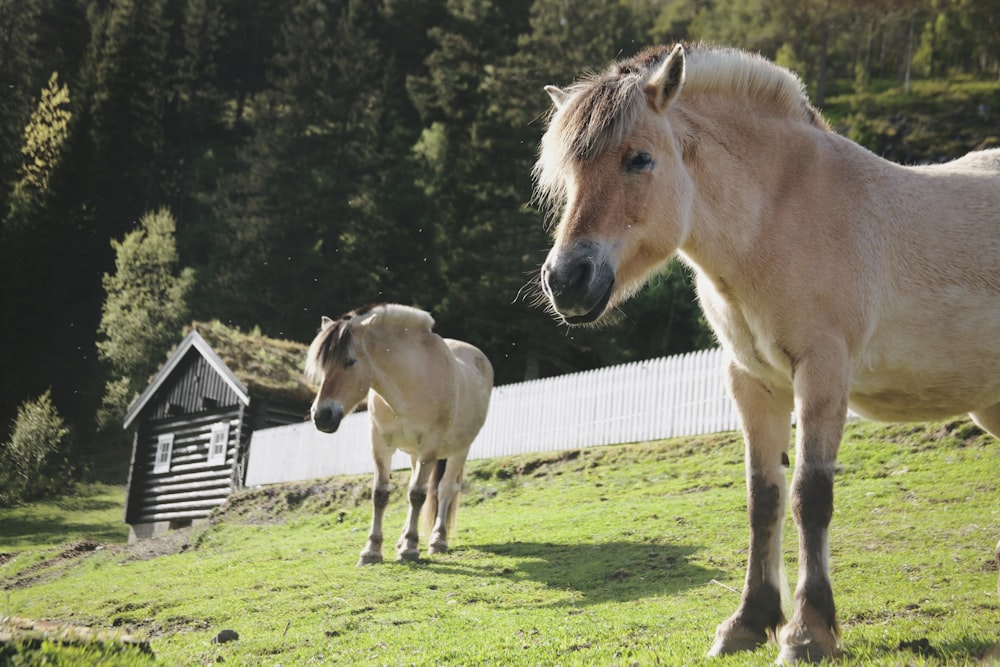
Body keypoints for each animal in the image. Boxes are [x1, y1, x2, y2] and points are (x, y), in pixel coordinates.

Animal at [304, 306, 492, 568]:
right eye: (322, 367)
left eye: (350, 362)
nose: (321, 416)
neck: (409, 386)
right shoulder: (380, 443)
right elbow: (381, 494)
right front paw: (372, 550)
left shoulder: (430, 446)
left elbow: (417, 494)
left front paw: (410, 549)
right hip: (414, 455)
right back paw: (402, 540)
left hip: (458, 450)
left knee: (444, 489)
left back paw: (437, 541)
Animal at [536, 41, 1000, 664]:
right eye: (566, 174)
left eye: (639, 159)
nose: (567, 280)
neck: (778, 219)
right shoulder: (752, 381)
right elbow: (764, 499)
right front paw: (749, 622)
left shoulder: (822, 373)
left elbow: (810, 494)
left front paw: (808, 630)